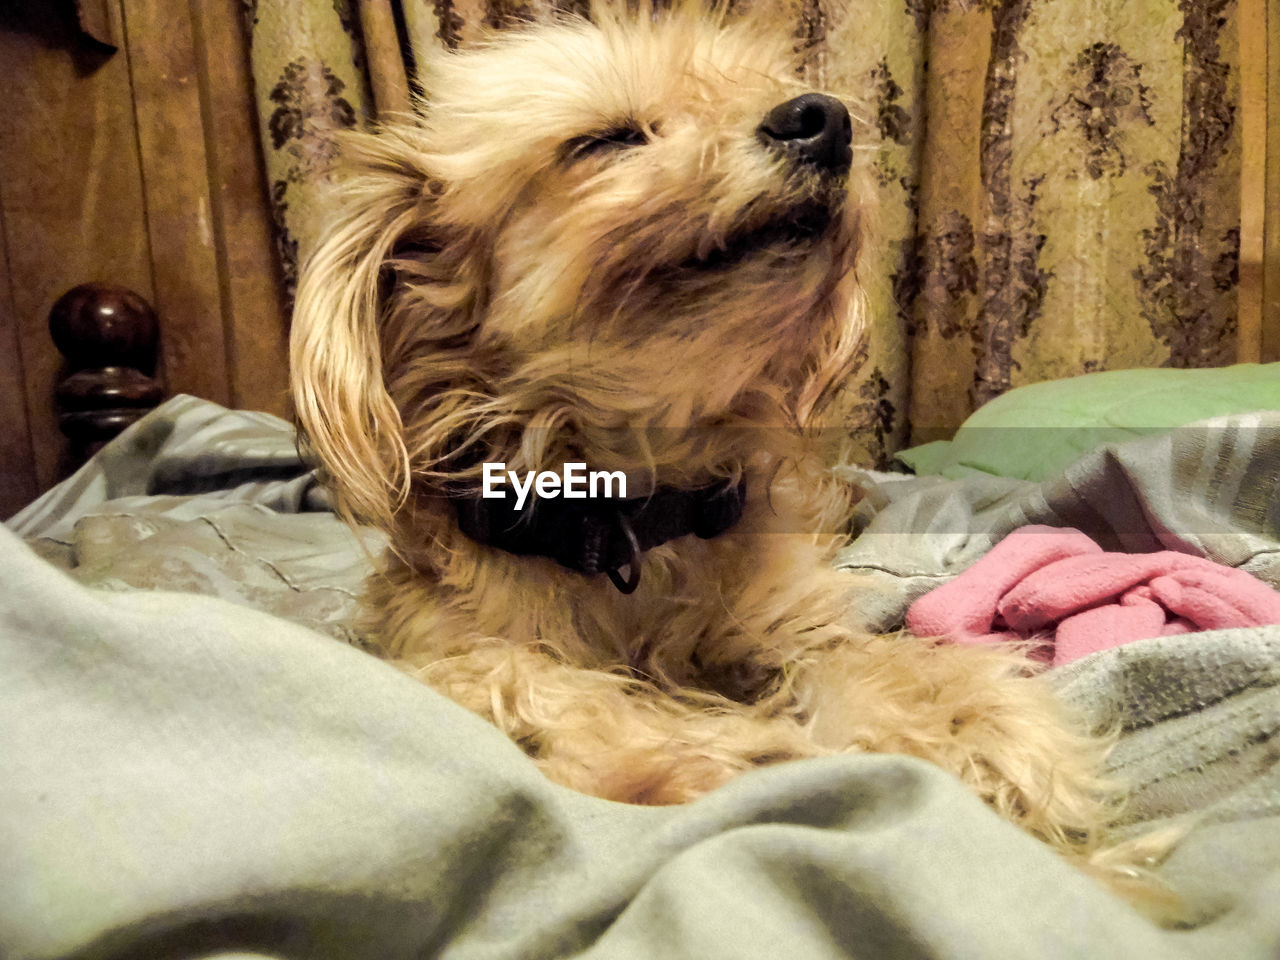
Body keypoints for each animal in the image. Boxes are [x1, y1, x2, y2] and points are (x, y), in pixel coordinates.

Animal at [293, 0, 1152, 885]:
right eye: (606, 140)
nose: (824, 118)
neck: (628, 520)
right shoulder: (442, 650)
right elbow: (524, 688)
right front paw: (722, 755)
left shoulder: (792, 632)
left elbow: (896, 670)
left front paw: (1002, 748)